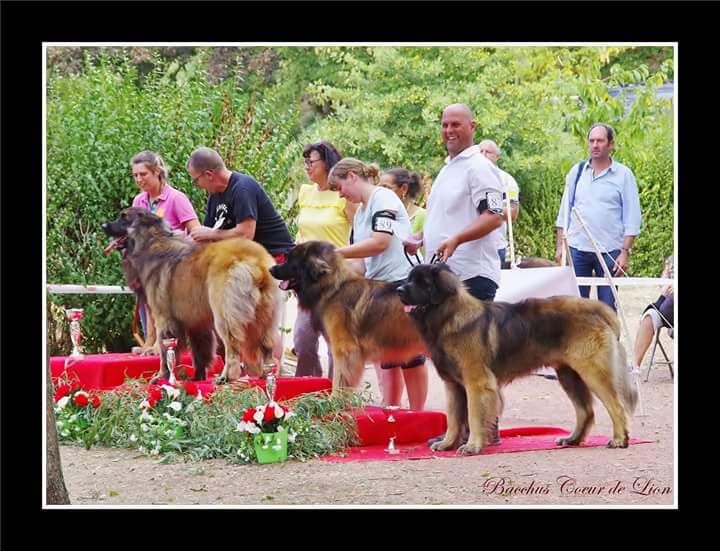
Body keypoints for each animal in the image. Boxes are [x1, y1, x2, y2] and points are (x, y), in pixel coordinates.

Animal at [102, 207, 280, 384]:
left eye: (124, 218)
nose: (103, 226)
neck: (152, 242)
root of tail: (256, 261)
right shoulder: (197, 321)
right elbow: (200, 349)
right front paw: (198, 376)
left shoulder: (164, 317)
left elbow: (165, 350)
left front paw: (161, 376)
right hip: (265, 316)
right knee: (267, 345)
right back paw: (266, 373)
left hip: (225, 313)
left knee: (232, 345)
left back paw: (227, 376)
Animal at [396, 264, 640, 458]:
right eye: (409, 279)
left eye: (423, 283)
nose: (398, 290)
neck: (446, 317)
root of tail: (597, 308)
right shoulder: (453, 385)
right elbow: (454, 418)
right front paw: (447, 443)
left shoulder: (477, 383)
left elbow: (473, 416)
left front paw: (472, 445)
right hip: (568, 375)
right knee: (586, 411)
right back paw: (572, 439)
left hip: (592, 371)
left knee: (616, 406)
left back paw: (619, 439)